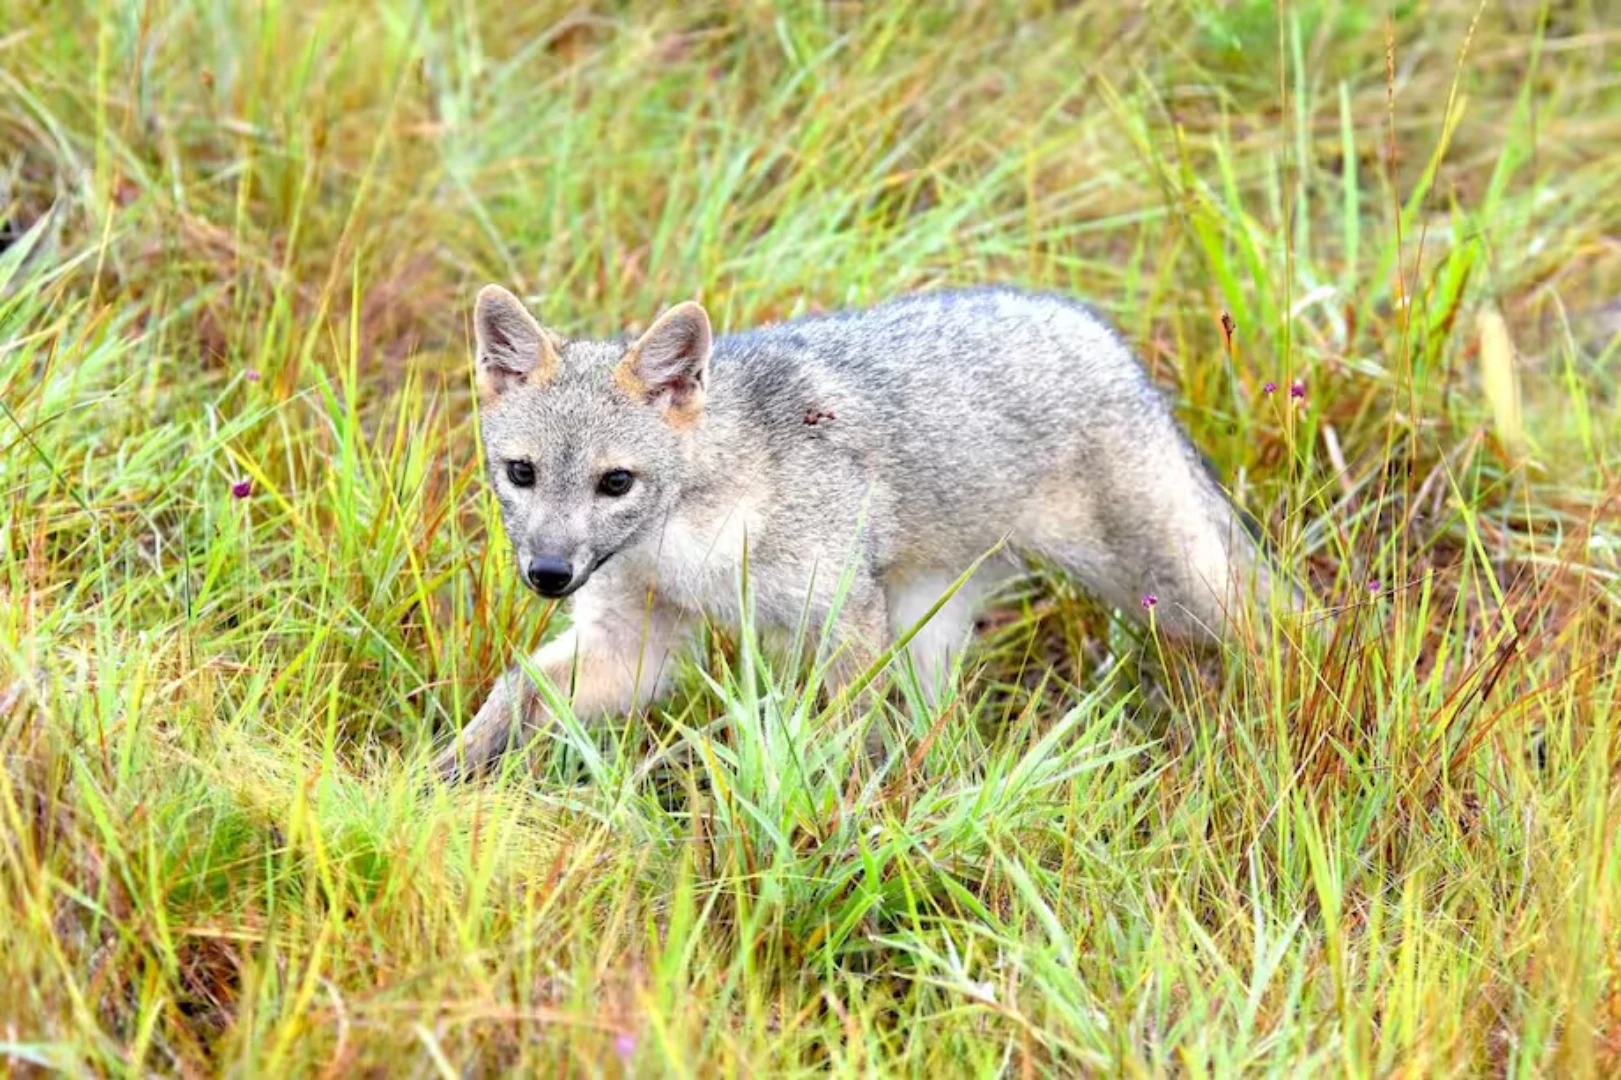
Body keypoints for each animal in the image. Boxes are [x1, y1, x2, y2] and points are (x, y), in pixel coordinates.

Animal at [431, 285, 1301, 782]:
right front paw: (437, 780)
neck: (687, 532)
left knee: (1283, 632)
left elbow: (829, 739)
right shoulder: (632, 646)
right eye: (520, 473)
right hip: (925, 632)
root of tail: (1103, 336)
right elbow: (515, 689)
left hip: (1181, 594)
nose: (547, 575)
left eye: (616, 483)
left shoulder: (844, 625)